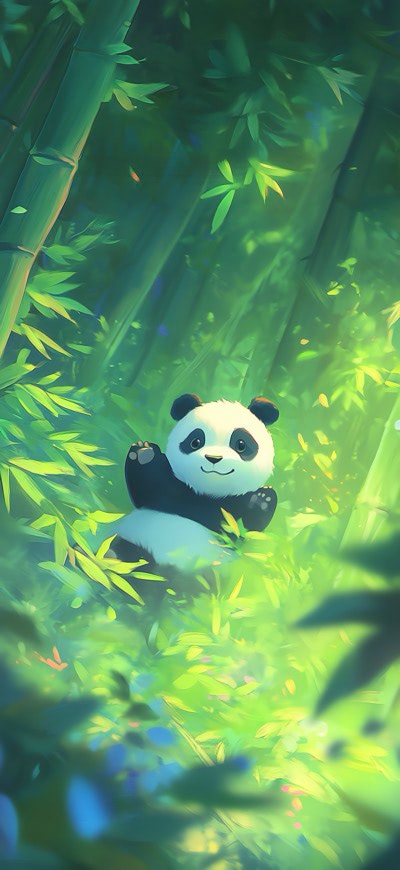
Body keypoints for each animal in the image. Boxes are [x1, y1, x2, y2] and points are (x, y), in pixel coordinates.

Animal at [111, 393, 279, 573]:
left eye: (241, 444)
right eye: (196, 442)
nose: (214, 458)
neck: (207, 496)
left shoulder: (233, 511)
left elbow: (248, 532)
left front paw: (263, 499)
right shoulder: (171, 490)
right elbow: (146, 490)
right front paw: (144, 453)